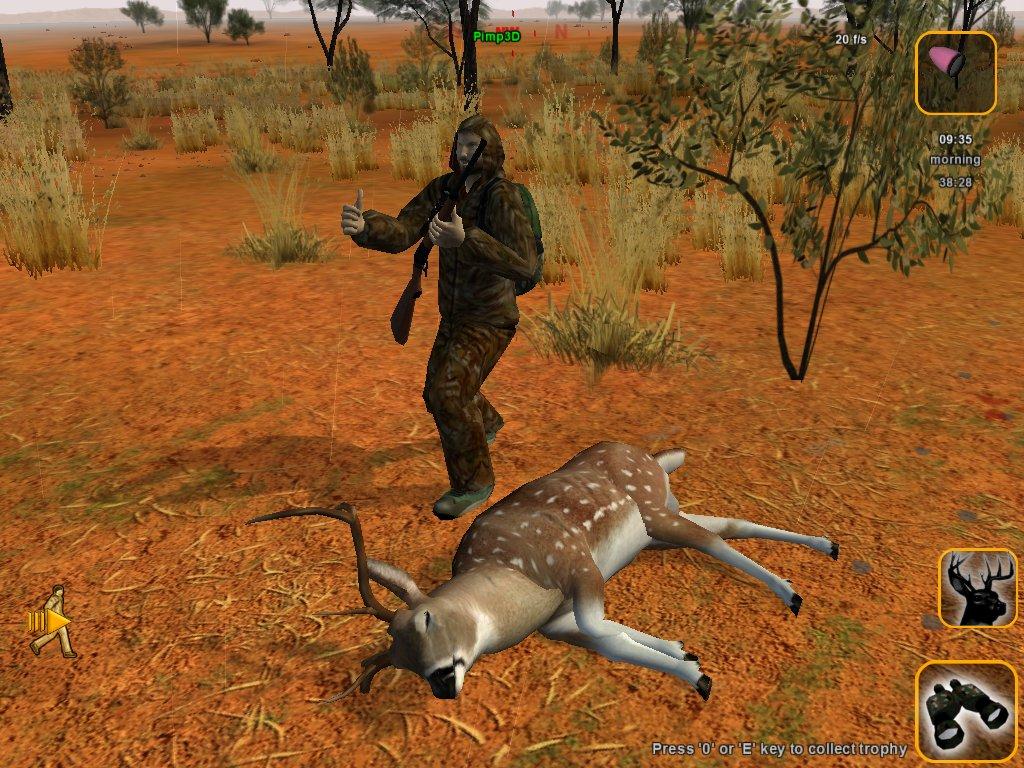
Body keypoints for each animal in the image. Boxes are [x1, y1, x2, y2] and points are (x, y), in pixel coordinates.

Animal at [247, 441, 839, 702]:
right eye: (398, 664)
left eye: (426, 619)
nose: (441, 682)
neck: (515, 580)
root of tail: (654, 457)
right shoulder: (556, 623)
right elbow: (606, 641)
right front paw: (688, 657)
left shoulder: (574, 561)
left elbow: (600, 625)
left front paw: (696, 669)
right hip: (659, 524)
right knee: (728, 522)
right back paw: (827, 547)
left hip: (653, 513)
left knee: (715, 539)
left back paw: (792, 593)